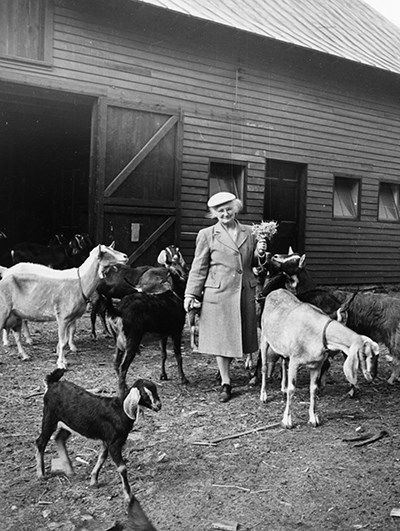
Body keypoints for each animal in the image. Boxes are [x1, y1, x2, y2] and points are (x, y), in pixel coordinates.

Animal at [36, 370, 161, 502]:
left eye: (155, 390)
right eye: (145, 394)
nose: (158, 406)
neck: (120, 410)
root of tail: (52, 383)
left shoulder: (107, 440)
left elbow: (102, 457)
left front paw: (93, 481)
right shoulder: (114, 443)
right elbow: (122, 467)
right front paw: (128, 496)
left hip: (68, 423)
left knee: (59, 438)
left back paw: (70, 471)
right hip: (50, 417)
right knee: (41, 441)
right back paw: (41, 474)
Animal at [260, 288, 380, 430]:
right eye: (364, 355)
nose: (373, 375)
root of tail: (276, 290)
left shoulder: (317, 365)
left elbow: (313, 389)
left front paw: (313, 419)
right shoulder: (295, 361)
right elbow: (292, 389)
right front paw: (287, 421)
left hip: (283, 349)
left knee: (283, 363)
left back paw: (282, 388)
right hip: (264, 338)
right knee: (264, 367)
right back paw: (264, 395)